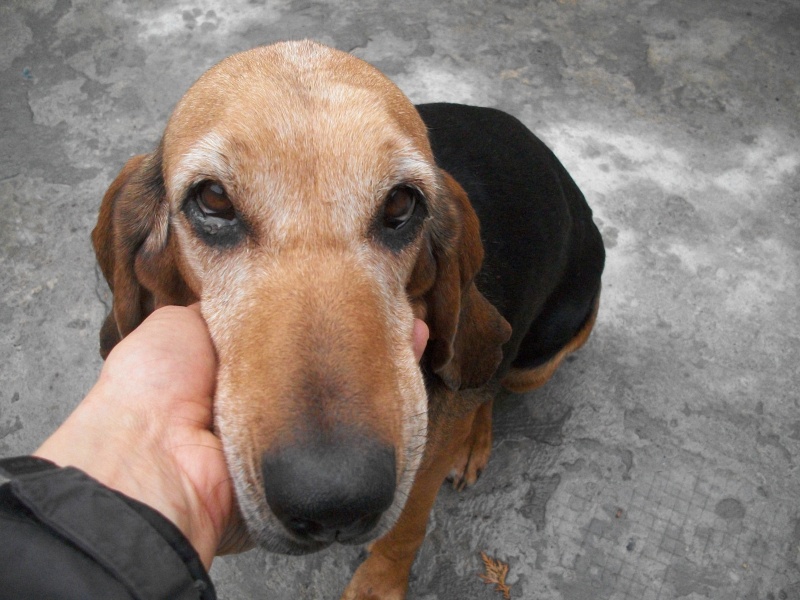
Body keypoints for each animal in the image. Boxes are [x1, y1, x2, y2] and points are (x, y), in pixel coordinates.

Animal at [92, 39, 608, 596]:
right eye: (212, 198)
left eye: (402, 202)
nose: (334, 498)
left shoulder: (420, 468)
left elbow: (406, 526)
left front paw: (379, 584)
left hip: (541, 358)